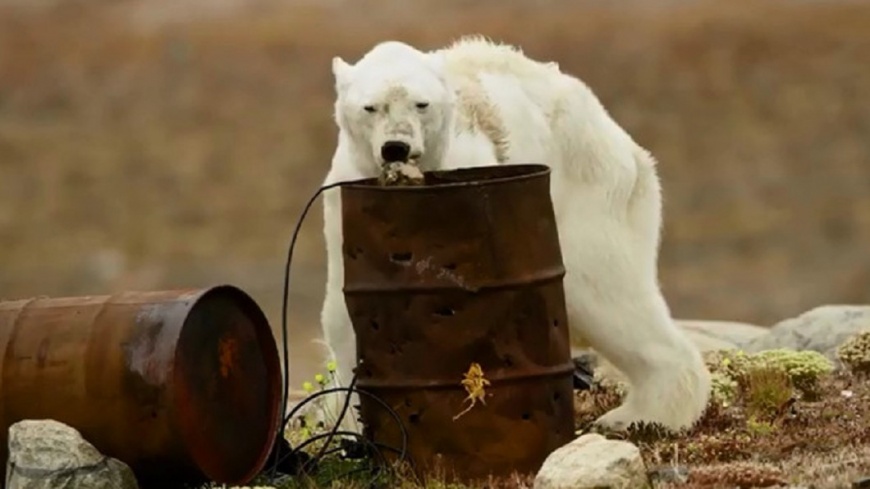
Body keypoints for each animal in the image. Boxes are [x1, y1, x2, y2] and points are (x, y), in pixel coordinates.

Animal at [318, 36, 712, 433]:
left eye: (421, 103)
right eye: (371, 107)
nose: (395, 146)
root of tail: (627, 145)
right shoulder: (344, 204)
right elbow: (345, 314)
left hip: (586, 193)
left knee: (603, 291)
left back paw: (635, 415)